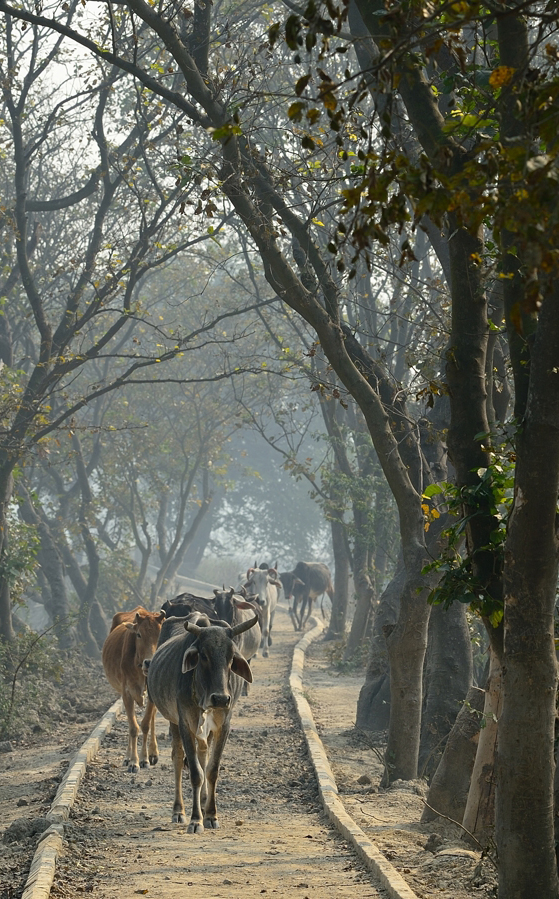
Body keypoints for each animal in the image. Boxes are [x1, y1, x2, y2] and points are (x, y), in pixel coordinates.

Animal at [102, 606, 165, 772]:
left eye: (160, 634)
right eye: (139, 634)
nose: (149, 662)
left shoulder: (151, 693)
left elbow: (146, 724)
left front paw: (144, 759)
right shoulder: (127, 693)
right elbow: (133, 728)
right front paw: (133, 762)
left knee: (152, 719)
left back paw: (153, 753)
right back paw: (127, 757)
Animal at [146, 611, 259, 832]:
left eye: (231, 657)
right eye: (204, 656)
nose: (221, 699)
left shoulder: (223, 726)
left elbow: (212, 770)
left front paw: (211, 815)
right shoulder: (185, 724)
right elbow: (196, 773)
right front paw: (196, 819)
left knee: (203, 754)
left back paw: (205, 799)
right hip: (174, 722)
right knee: (178, 759)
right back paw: (179, 811)